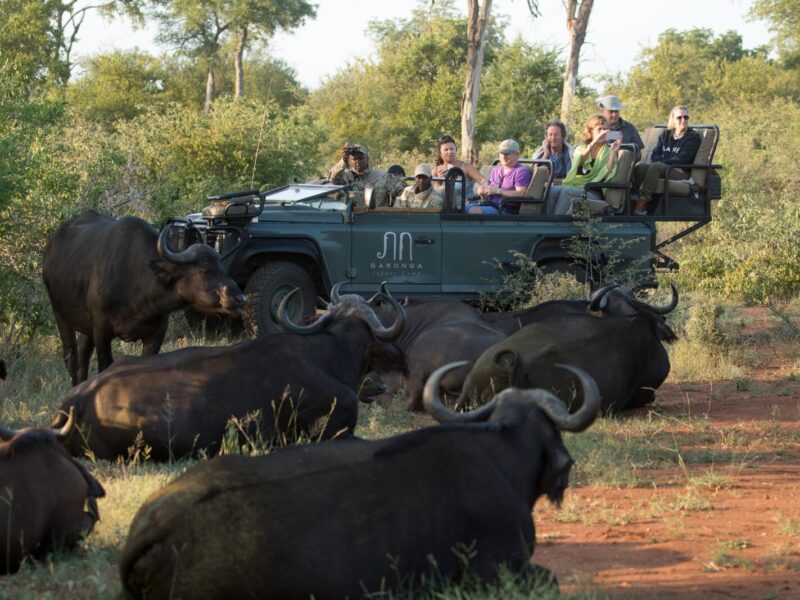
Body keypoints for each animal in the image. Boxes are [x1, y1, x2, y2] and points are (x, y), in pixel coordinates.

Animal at [43, 211, 245, 385]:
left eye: (222, 266)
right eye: (204, 270)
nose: (240, 298)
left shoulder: (156, 334)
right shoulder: (101, 329)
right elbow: (104, 367)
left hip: (86, 327)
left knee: (82, 357)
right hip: (60, 315)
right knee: (71, 358)